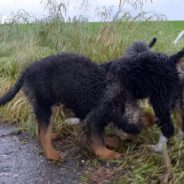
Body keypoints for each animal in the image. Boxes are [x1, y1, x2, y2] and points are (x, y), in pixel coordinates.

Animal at [0, 52, 141, 160]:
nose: (134, 141)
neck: (120, 102)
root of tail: (27, 71)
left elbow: (101, 133)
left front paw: (109, 141)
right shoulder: (94, 118)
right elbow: (97, 139)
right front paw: (107, 154)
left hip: (48, 106)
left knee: (40, 128)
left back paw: (51, 137)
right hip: (46, 105)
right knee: (43, 132)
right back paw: (51, 154)